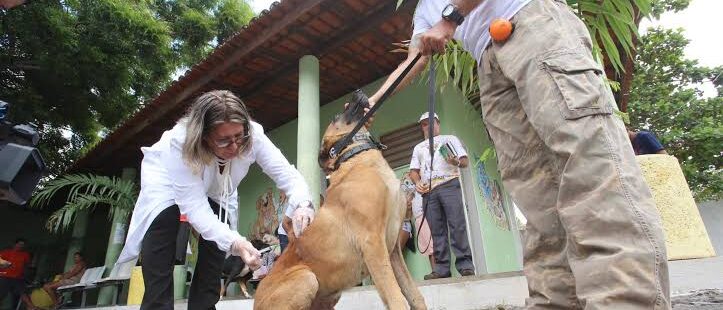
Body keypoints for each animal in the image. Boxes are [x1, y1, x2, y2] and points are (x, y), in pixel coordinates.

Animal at [253, 91, 428, 308]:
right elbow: (396, 299)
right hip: (307, 278)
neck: (358, 157)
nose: (357, 92)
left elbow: (414, 296)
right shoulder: (373, 243)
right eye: (337, 116)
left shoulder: (393, 250)